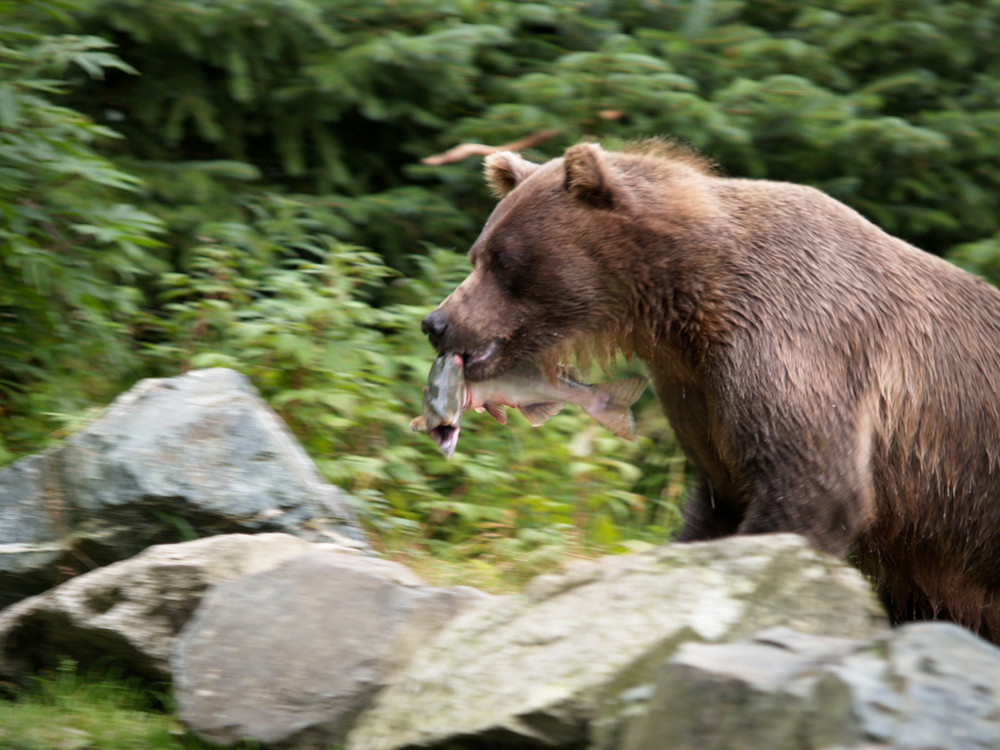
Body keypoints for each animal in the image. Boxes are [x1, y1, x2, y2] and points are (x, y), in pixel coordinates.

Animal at [420, 140, 1000, 640]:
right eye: (478, 253)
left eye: (504, 259)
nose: (437, 322)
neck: (683, 307)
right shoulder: (695, 390)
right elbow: (718, 500)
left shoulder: (796, 343)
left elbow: (813, 488)